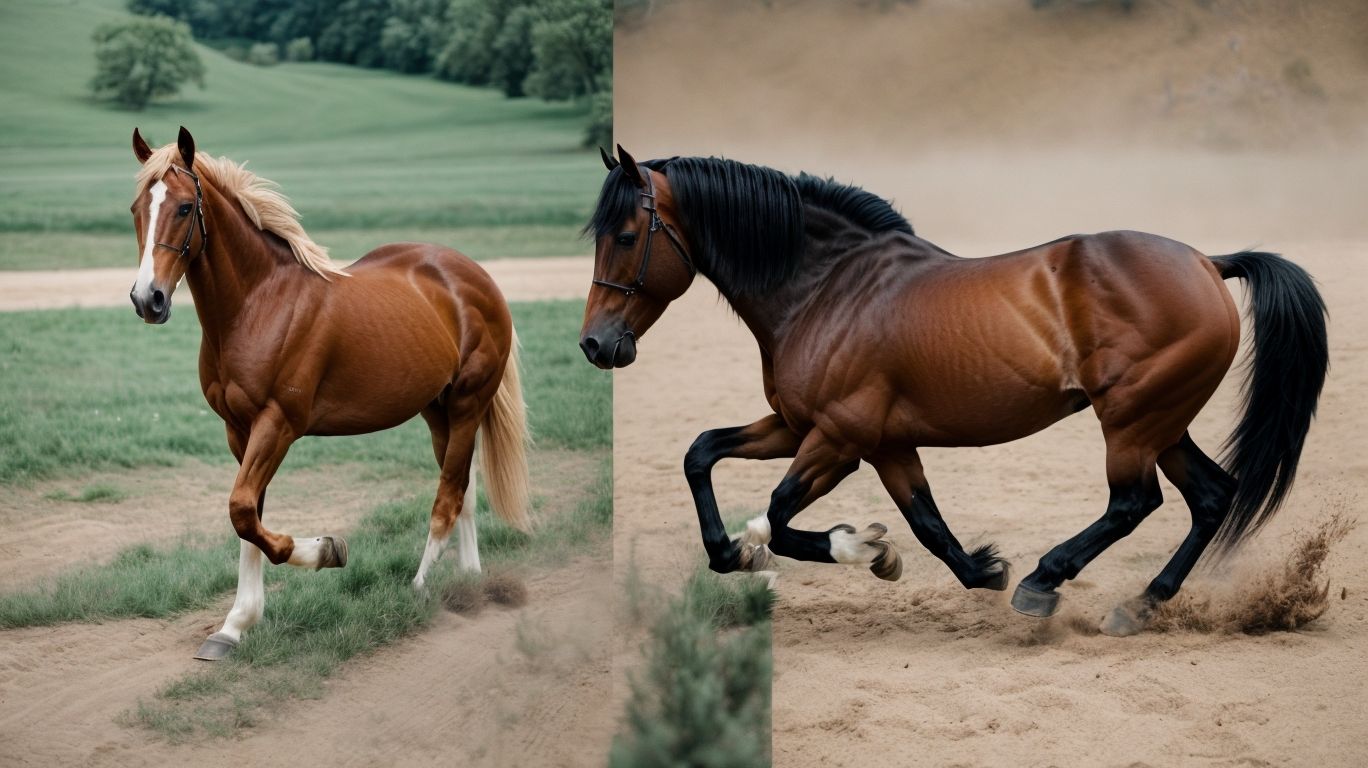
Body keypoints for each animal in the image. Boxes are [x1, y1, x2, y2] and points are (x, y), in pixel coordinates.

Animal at [127, 127, 531, 660]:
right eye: (137, 208)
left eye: (185, 207)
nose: (147, 298)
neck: (258, 304)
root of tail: (477, 276)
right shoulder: (239, 431)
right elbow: (248, 518)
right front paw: (235, 626)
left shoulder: (278, 424)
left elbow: (243, 512)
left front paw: (327, 550)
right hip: (437, 411)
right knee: (462, 489)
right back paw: (470, 581)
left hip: (467, 404)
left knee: (447, 498)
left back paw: (421, 588)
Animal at [579, 146, 1327, 636]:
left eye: (626, 234)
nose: (595, 345)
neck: (826, 287)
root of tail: (1206, 262)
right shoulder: (841, 435)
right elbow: (706, 454)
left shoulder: (838, 439)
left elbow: (781, 517)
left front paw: (862, 549)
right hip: (1162, 423)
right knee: (1210, 496)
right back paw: (1139, 606)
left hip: (1132, 421)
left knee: (1135, 502)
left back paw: (1045, 582)